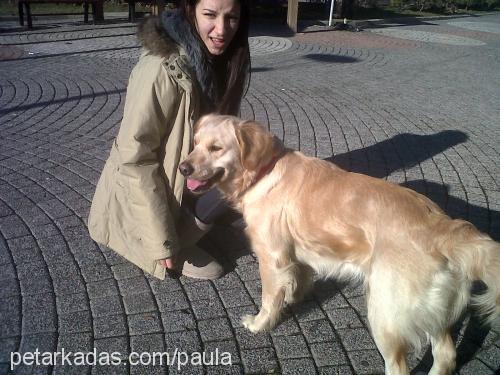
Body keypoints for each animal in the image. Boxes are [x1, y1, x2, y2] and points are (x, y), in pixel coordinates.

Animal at [180, 114, 500, 375]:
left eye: (216, 148)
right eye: (194, 144)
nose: (183, 168)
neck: (264, 172)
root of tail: (443, 227)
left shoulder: (272, 257)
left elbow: (270, 297)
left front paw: (260, 323)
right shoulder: (300, 252)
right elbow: (300, 278)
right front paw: (293, 297)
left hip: (385, 313)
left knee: (400, 365)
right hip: (433, 311)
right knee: (446, 355)